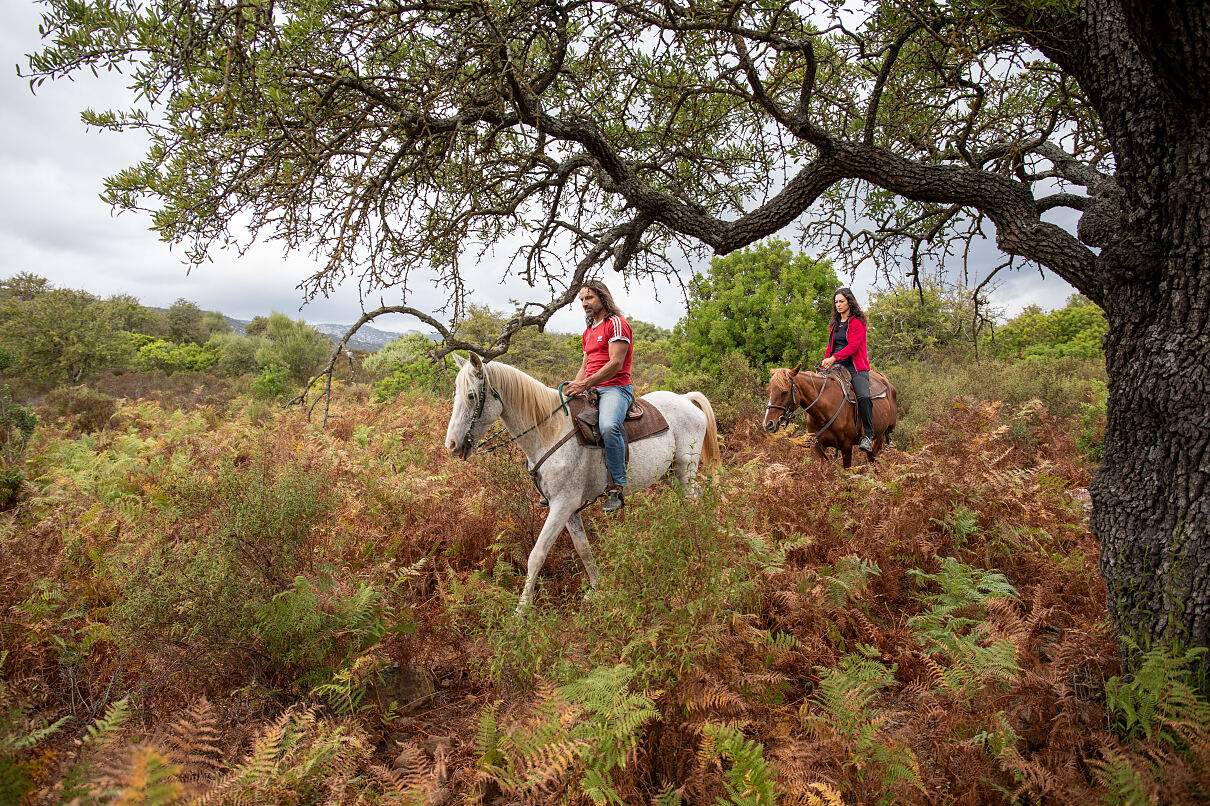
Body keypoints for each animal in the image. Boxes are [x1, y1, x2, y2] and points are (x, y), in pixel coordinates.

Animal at [447, 350, 716, 609]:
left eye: (471, 396)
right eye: (455, 393)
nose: (451, 445)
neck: (550, 431)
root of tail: (685, 398)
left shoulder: (562, 505)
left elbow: (537, 555)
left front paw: (521, 610)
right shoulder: (568, 509)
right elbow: (583, 549)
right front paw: (597, 589)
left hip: (685, 470)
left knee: (693, 501)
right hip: (671, 474)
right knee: (693, 499)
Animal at [764, 363, 900, 464]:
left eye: (785, 392)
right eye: (768, 391)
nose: (768, 424)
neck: (824, 413)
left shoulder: (846, 447)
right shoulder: (817, 446)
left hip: (879, 437)